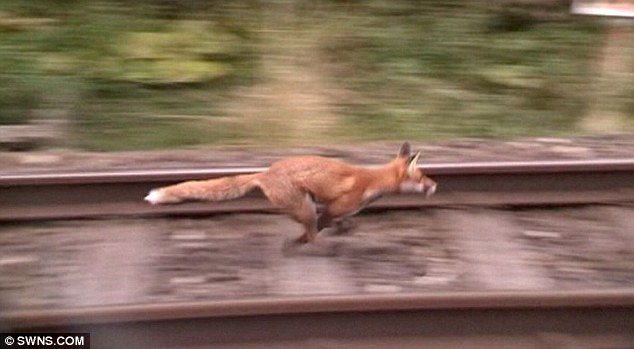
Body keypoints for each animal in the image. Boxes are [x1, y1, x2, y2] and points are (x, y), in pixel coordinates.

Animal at [146, 141, 436, 242]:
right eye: (423, 177)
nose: (435, 185)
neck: (371, 182)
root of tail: (265, 173)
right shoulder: (333, 208)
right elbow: (320, 228)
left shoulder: (336, 210)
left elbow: (343, 223)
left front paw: (345, 230)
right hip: (305, 208)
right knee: (311, 235)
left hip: (305, 206)